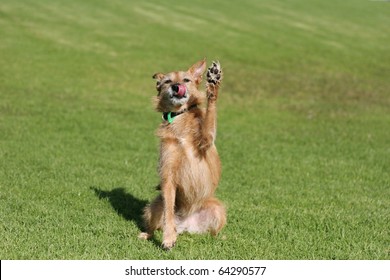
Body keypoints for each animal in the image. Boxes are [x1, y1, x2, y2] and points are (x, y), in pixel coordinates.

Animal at [139, 59, 225, 249]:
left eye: (186, 80)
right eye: (167, 81)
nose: (177, 86)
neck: (180, 117)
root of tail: (186, 225)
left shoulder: (206, 140)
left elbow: (210, 117)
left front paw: (213, 83)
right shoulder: (168, 175)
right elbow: (168, 213)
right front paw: (168, 238)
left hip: (217, 209)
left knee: (214, 232)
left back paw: (221, 238)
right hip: (154, 205)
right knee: (156, 222)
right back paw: (148, 234)